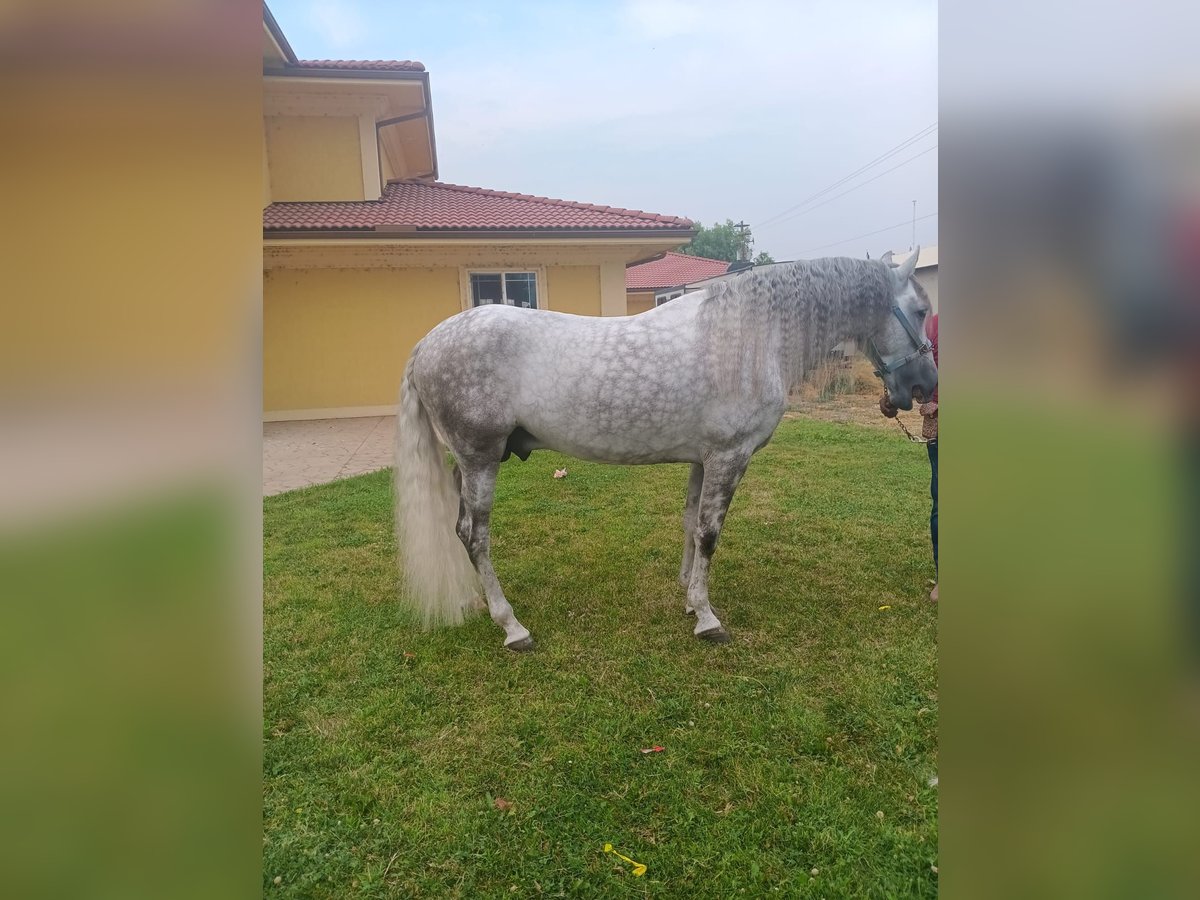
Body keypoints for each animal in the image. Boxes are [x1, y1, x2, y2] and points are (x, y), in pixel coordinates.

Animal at [393, 250, 936, 652]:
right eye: (921, 311)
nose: (925, 385)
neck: (751, 337)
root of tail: (426, 344)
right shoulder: (729, 457)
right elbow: (710, 534)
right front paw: (707, 618)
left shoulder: (703, 459)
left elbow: (691, 524)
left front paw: (689, 597)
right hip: (480, 460)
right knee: (475, 536)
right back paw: (512, 626)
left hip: (468, 464)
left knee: (460, 530)